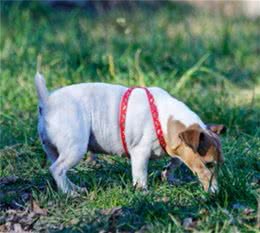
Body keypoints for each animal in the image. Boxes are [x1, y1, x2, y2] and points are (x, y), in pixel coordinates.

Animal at [35, 72, 225, 196]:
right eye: (208, 164)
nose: (216, 193)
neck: (164, 119)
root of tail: (47, 102)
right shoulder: (140, 153)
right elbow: (141, 175)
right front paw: (143, 192)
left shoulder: (177, 148)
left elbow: (175, 162)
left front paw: (168, 176)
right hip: (76, 148)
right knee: (57, 169)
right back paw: (70, 193)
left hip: (54, 150)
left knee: (58, 169)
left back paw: (73, 188)